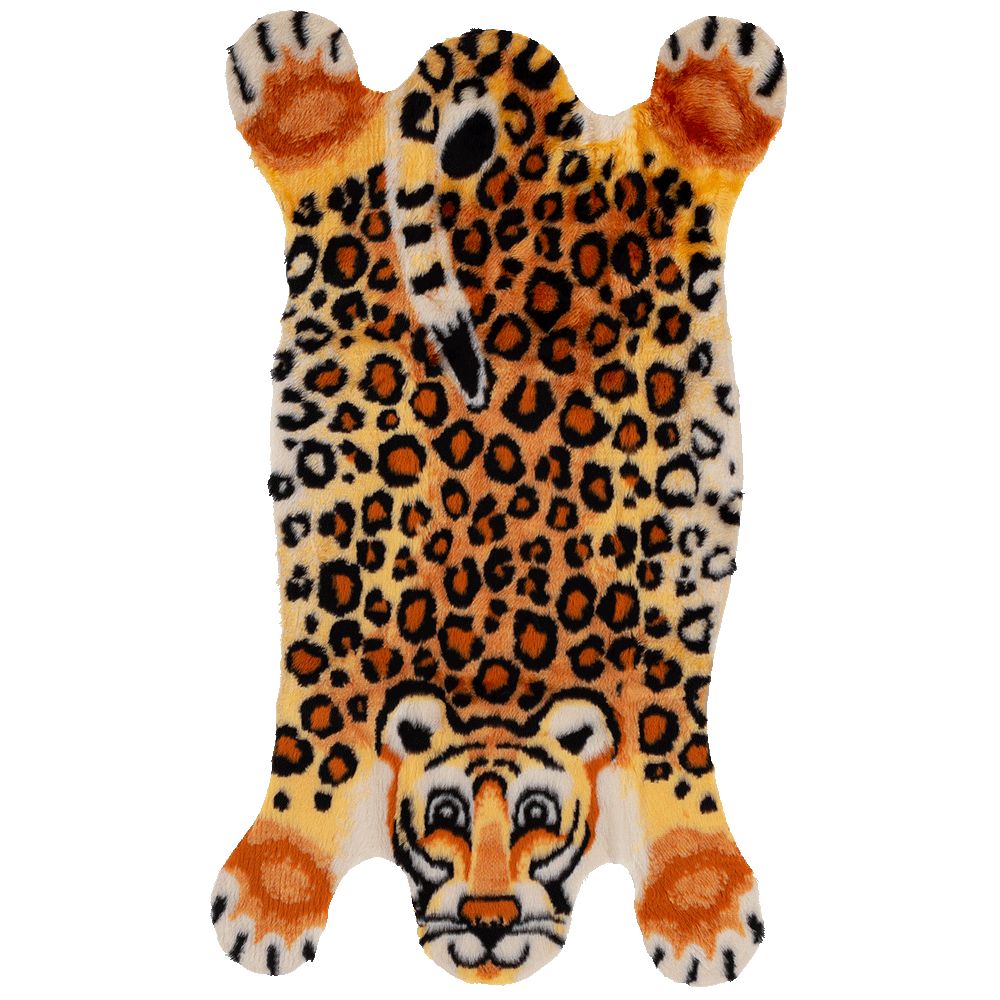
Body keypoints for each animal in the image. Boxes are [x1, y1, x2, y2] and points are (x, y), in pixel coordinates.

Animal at [212, 10, 786, 987]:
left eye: (538, 821)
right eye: (444, 818)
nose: (487, 925)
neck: (496, 670)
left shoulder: (657, 699)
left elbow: (678, 770)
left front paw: (699, 901)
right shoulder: (336, 686)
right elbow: (309, 764)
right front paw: (275, 889)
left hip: (662, 193)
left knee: (685, 143)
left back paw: (719, 74)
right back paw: (291, 71)